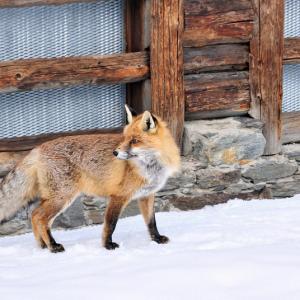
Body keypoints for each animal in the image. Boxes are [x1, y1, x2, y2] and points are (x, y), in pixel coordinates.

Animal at [0, 106, 180, 252]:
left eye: (134, 141)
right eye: (124, 138)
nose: (115, 153)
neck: (150, 166)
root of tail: (38, 148)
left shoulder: (146, 195)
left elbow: (151, 222)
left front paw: (157, 239)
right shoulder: (118, 196)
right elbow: (110, 224)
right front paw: (107, 245)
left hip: (55, 198)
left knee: (37, 217)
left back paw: (44, 245)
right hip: (62, 197)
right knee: (39, 217)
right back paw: (53, 246)